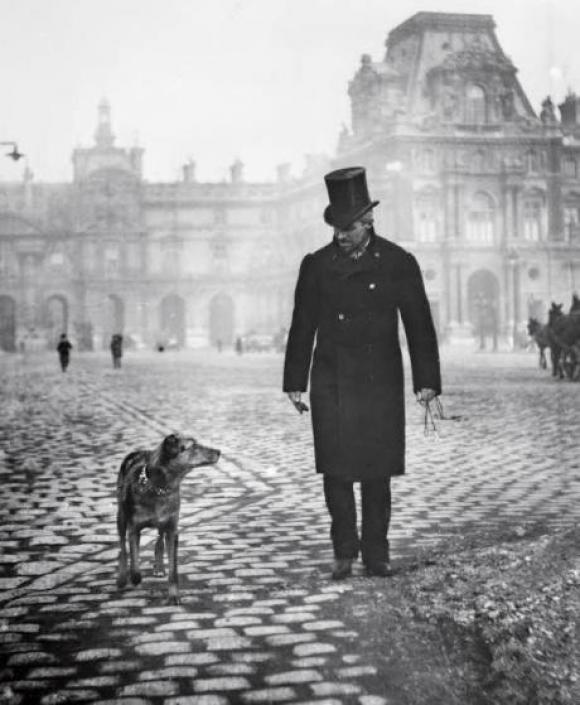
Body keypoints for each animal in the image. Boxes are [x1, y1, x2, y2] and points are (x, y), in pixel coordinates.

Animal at [116, 432, 221, 604]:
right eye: (193, 446)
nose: (219, 451)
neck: (160, 487)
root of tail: (139, 452)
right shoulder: (134, 528)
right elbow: (134, 560)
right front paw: (135, 578)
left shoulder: (172, 529)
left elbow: (173, 569)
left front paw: (173, 595)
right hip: (121, 516)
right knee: (123, 549)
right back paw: (122, 578)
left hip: (163, 523)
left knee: (159, 540)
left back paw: (159, 567)